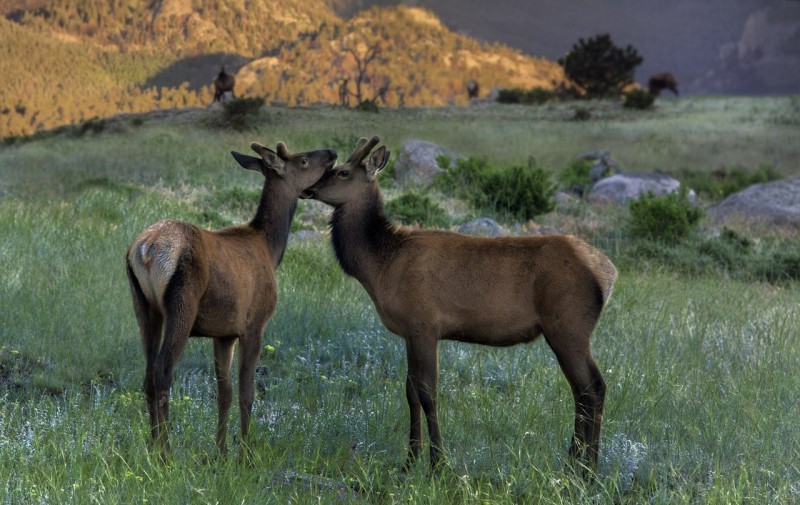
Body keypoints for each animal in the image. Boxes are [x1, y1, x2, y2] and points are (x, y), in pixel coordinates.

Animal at [126, 141, 338, 456]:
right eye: (303, 160)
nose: (332, 153)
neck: (270, 250)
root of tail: (146, 250)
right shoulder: (254, 324)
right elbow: (246, 392)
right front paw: (245, 453)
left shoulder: (223, 333)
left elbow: (223, 393)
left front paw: (221, 450)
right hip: (182, 304)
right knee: (163, 371)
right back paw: (166, 452)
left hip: (143, 306)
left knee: (148, 373)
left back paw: (153, 447)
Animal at [300, 135, 620, 472]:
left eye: (342, 172)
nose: (308, 188)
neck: (381, 266)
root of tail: (608, 272)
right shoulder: (410, 332)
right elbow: (410, 392)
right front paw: (409, 461)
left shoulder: (424, 325)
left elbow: (428, 393)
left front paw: (438, 463)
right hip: (566, 330)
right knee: (582, 390)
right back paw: (575, 464)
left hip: (568, 326)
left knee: (593, 387)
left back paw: (587, 469)